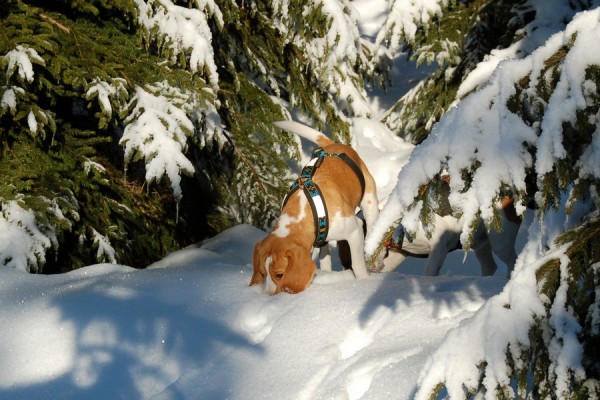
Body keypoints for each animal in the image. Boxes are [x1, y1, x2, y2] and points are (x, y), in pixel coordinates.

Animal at [251, 121, 378, 294]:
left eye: (279, 275)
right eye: (263, 274)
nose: (268, 295)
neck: (301, 211)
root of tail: (333, 145)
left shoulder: (355, 231)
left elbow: (358, 266)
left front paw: (363, 282)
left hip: (369, 201)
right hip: (324, 240)